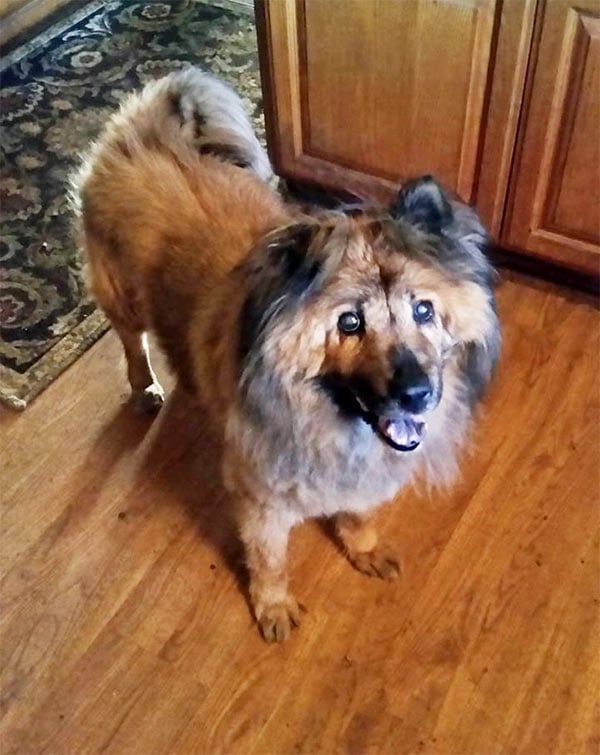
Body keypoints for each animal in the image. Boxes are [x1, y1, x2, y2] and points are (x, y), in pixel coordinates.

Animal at [72, 66, 500, 644]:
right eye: (350, 323)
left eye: (424, 310)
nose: (418, 393)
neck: (328, 422)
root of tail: (147, 128)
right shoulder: (262, 500)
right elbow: (269, 559)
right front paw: (273, 607)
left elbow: (359, 516)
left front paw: (363, 549)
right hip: (122, 297)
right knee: (131, 342)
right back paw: (146, 389)